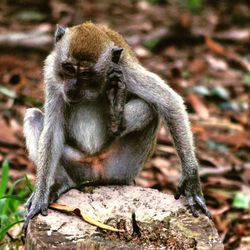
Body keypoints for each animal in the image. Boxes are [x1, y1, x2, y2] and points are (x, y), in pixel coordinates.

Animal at [23, 22, 211, 228]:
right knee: (33, 116)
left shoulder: (124, 71)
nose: (72, 88)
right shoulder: (52, 73)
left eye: (86, 74)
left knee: (151, 108)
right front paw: (41, 195)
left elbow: (170, 103)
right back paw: (60, 183)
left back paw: (116, 116)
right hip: (78, 167)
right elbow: (52, 131)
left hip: (122, 168)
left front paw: (191, 179)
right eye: (69, 68)